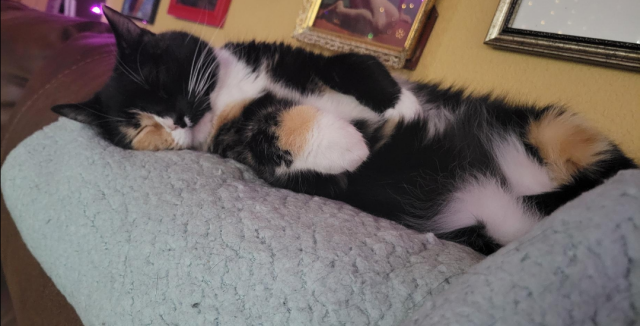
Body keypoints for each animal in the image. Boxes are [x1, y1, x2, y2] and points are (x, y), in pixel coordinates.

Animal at [52, 5, 636, 255]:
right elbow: (272, 126)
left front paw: (399, 101)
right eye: (137, 127)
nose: (175, 120)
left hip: (556, 128)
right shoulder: (241, 139)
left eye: (156, 82)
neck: (229, 93)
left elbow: (348, 62)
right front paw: (348, 145)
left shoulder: (289, 56)